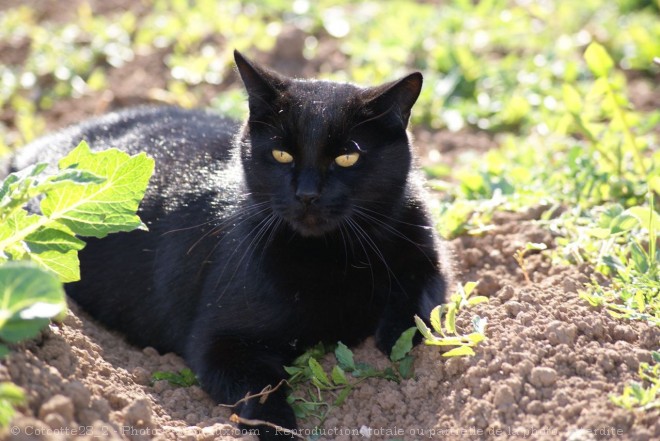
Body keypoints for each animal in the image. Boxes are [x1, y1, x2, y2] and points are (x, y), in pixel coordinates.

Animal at [7, 50, 454, 436]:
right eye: (281, 155)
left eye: (347, 158)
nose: (307, 194)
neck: (333, 256)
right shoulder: (218, 344)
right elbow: (262, 395)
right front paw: (283, 430)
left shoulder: (425, 252)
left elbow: (424, 301)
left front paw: (395, 336)